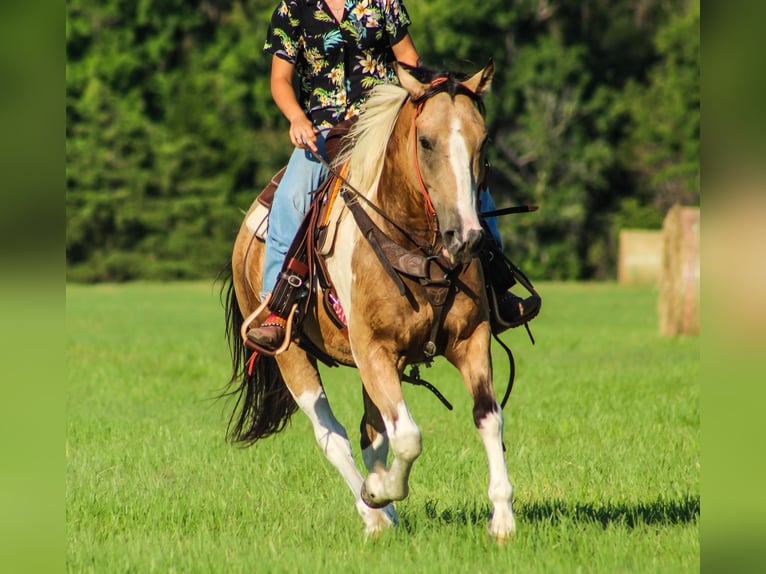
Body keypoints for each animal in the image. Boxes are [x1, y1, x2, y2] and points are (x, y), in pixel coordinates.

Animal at [221, 62, 516, 540]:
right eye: (425, 141)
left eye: (483, 139)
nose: (468, 236)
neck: (418, 247)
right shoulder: (374, 349)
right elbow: (409, 436)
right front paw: (378, 492)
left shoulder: (470, 340)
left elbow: (487, 418)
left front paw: (503, 518)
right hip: (291, 355)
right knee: (334, 436)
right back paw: (374, 514)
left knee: (371, 432)